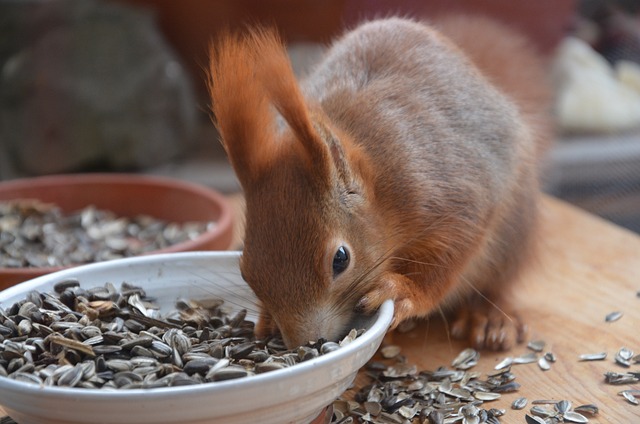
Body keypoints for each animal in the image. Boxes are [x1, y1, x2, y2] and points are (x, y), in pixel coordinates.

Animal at [208, 15, 552, 348]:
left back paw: (489, 317)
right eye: (245, 271)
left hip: (513, 236)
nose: (305, 343)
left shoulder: (453, 196)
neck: (380, 183)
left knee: (496, 285)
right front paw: (266, 317)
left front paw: (403, 291)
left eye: (340, 259)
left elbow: (449, 258)